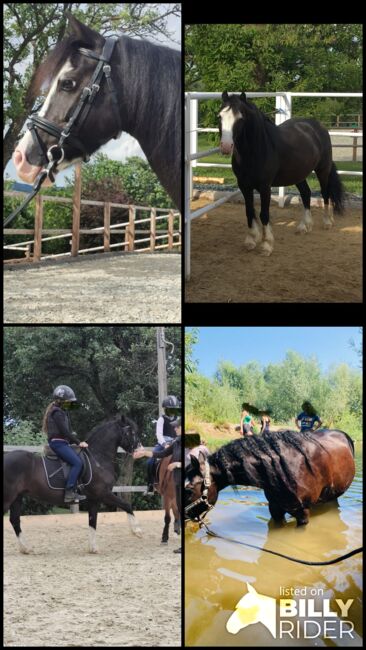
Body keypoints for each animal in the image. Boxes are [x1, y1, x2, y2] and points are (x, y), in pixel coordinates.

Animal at [4, 416, 144, 552]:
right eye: (131, 432)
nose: (140, 450)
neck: (97, 458)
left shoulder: (94, 499)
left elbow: (92, 521)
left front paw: (93, 548)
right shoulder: (103, 494)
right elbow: (126, 505)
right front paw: (137, 531)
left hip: (17, 498)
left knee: (14, 520)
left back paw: (25, 548)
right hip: (9, 497)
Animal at [219, 92, 344, 254]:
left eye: (240, 118)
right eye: (220, 116)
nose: (226, 147)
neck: (257, 149)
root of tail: (318, 127)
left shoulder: (265, 187)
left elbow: (264, 214)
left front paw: (267, 244)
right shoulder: (244, 186)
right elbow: (249, 211)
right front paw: (251, 240)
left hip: (323, 170)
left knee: (325, 193)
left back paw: (327, 222)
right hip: (299, 174)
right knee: (306, 193)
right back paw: (304, 226)